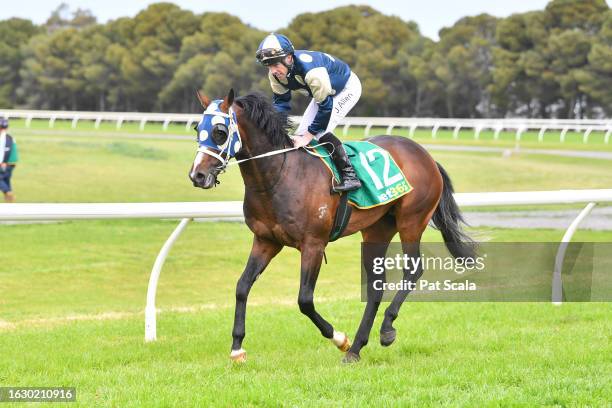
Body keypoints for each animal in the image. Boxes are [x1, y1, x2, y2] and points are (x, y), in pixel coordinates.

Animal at [189, 89, 476, 364]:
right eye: (197, 128)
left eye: (220, 131)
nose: (197, 175)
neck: (280, 175)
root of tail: (425, 155)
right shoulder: (266, 240)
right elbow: (242, 286)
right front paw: (237, 349)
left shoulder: (313, 244)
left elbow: (304, 300)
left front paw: (339, 338)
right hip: (377, 230)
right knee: (376, 286)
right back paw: (357, 348)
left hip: (412, 221)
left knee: (413, 270)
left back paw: (385, 329)